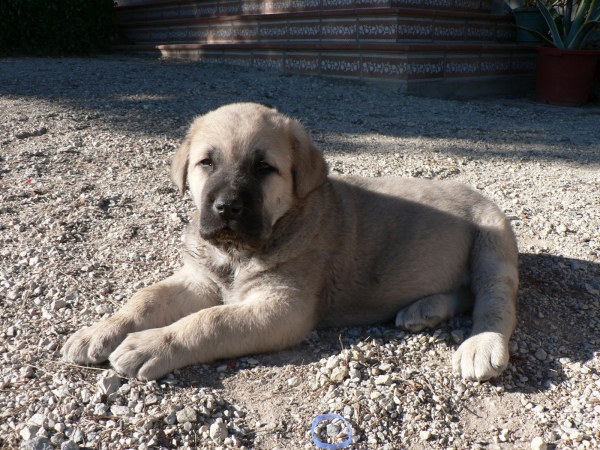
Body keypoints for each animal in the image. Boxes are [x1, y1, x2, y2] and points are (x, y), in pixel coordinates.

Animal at [62, 103, 520, 382]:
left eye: (264, 168)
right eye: (206, 163)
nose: (226, 207)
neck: (239, 253)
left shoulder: (283, 306)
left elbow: (210, 321)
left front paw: (152, 343)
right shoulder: (201, 279)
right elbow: (145, 298)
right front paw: (100, 330)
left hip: (493, 241)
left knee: (495, 301)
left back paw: (479, 345)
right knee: (466, 294)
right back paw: (424, 310)